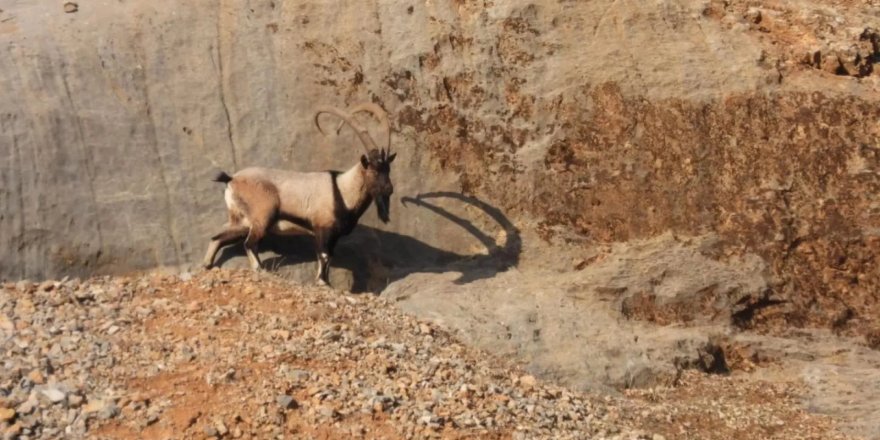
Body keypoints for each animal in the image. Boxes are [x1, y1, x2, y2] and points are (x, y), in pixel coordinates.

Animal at [201, 102, 398, 286]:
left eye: (388, 169)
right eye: (374, 170)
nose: (389, 189)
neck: (343, 191)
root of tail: (232, 179)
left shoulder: (333, 235)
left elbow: (329, 256)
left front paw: (326, 282)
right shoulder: (322, 228)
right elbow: (324, 255)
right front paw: (322, 282)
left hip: (241, 221)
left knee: (217, 238)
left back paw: (207, 265)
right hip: (262, 216)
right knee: (249, 243)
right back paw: (260, 269)